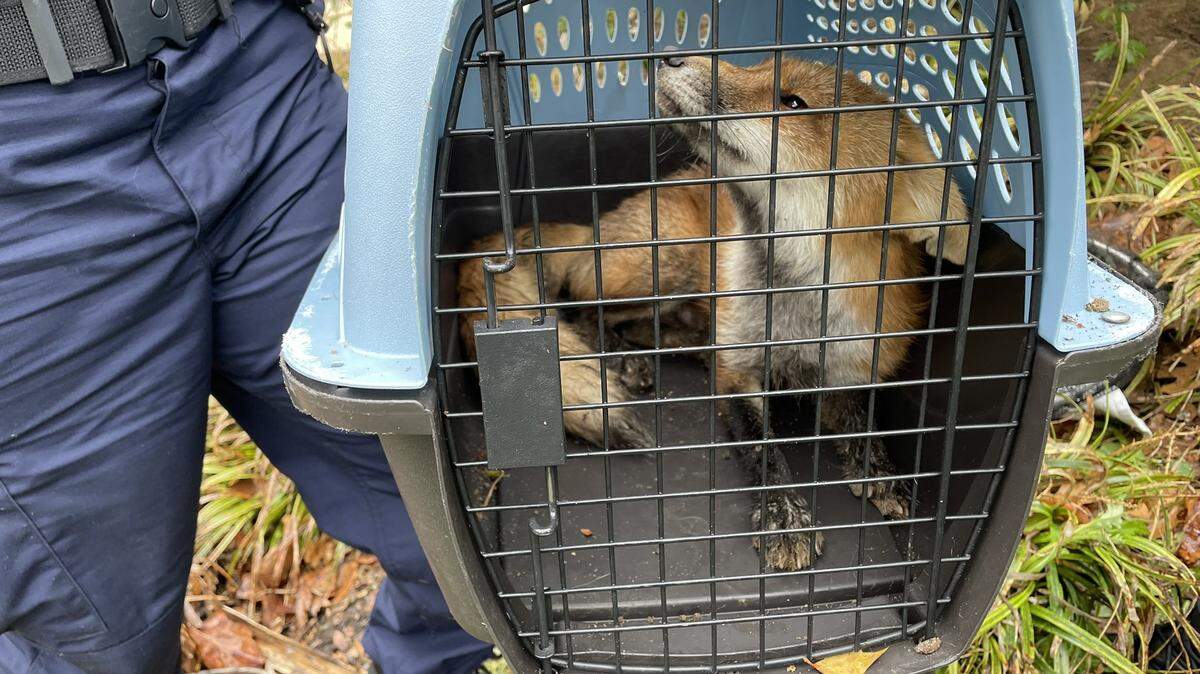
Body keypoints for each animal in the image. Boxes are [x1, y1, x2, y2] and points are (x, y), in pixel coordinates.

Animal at [457, 56, 969, 571]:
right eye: (758, 63)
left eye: (793, 102)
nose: (672, 55)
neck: (796, 315)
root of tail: (597, 228)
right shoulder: (738, 374)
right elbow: (764, 448)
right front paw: (784, 514)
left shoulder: (852, 366)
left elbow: (865, 421)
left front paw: (880, 470)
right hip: (667, 266)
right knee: (580, 306)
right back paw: (625, 359)